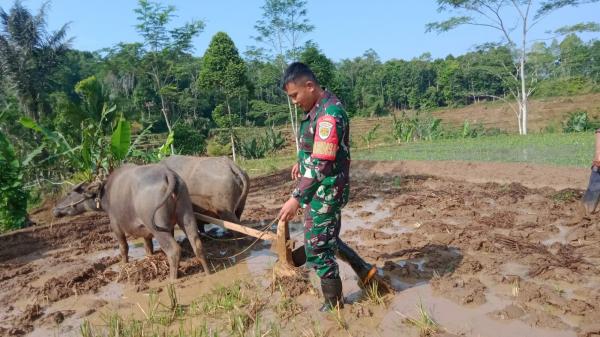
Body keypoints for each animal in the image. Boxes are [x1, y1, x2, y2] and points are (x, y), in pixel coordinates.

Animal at [52, 163, 211, 278]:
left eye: (69, 194)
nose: (55, 209)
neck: (105, 194)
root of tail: (168, 174)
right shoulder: (148, 230)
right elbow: (148, 246)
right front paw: (150, 258)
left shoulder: (115, 225)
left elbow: (123, 247)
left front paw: (124, 264)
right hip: (186, 215)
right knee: (196, 243)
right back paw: (208, 271)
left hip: (157, 227)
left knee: (173, 250)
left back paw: (172, 279)